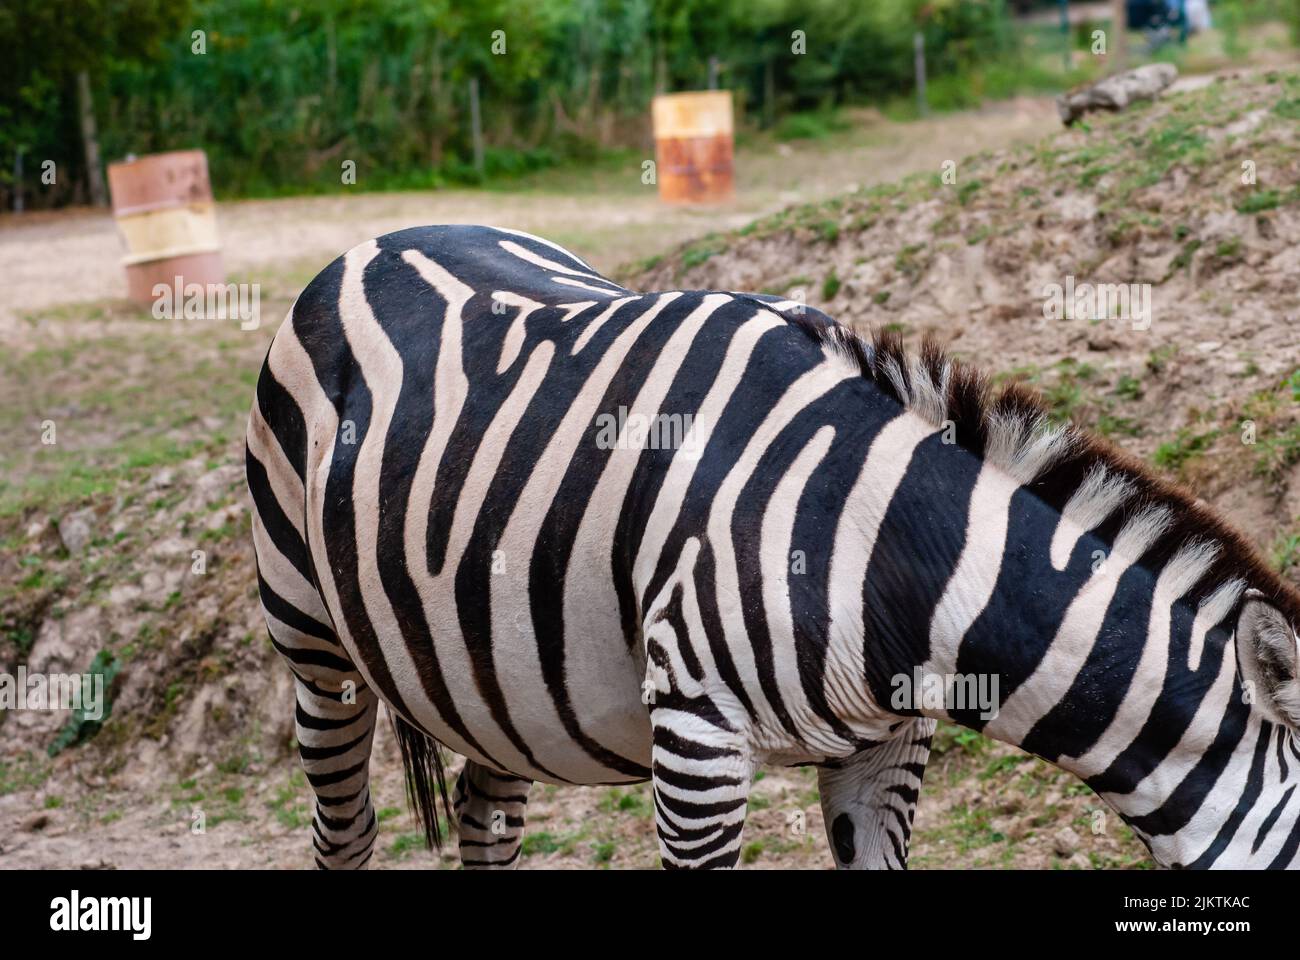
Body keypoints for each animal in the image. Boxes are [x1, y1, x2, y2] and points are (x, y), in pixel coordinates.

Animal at [246, 223, 1300, 870]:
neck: (891, 551)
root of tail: (379, 240)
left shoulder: (888, 749)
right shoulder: (697, 738)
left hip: (486, 665)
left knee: (484, 809)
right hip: (313, 640)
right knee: (345, 827)